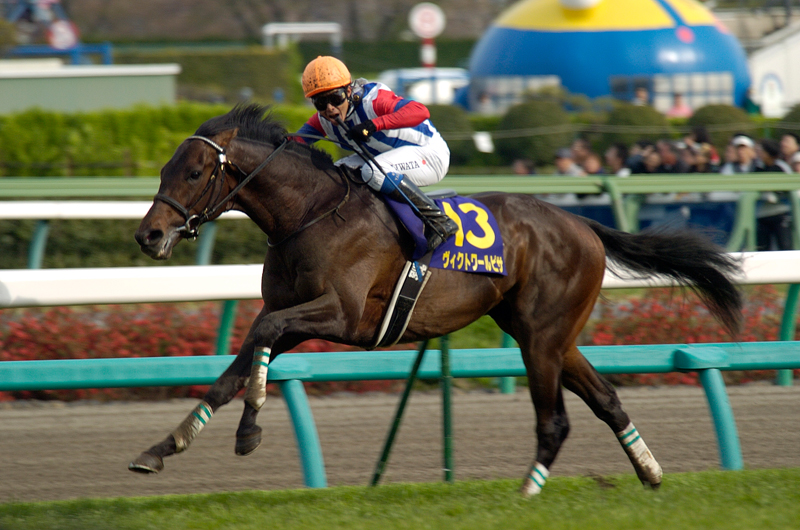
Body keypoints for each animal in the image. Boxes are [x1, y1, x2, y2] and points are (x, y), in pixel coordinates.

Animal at [130, 103, 742, 496]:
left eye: (194, 172)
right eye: (164, 169)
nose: (148, 235)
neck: (309, 213)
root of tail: (582, 223)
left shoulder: (343, 316)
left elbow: (261, 341)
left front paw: (249, 431)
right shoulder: (288, 314)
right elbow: (236, 367)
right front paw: (163, 447)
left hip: (541, 337)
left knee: (555, 420)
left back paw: (527, 494)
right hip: (545, 332)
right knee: (606, 400)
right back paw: (650, 472)